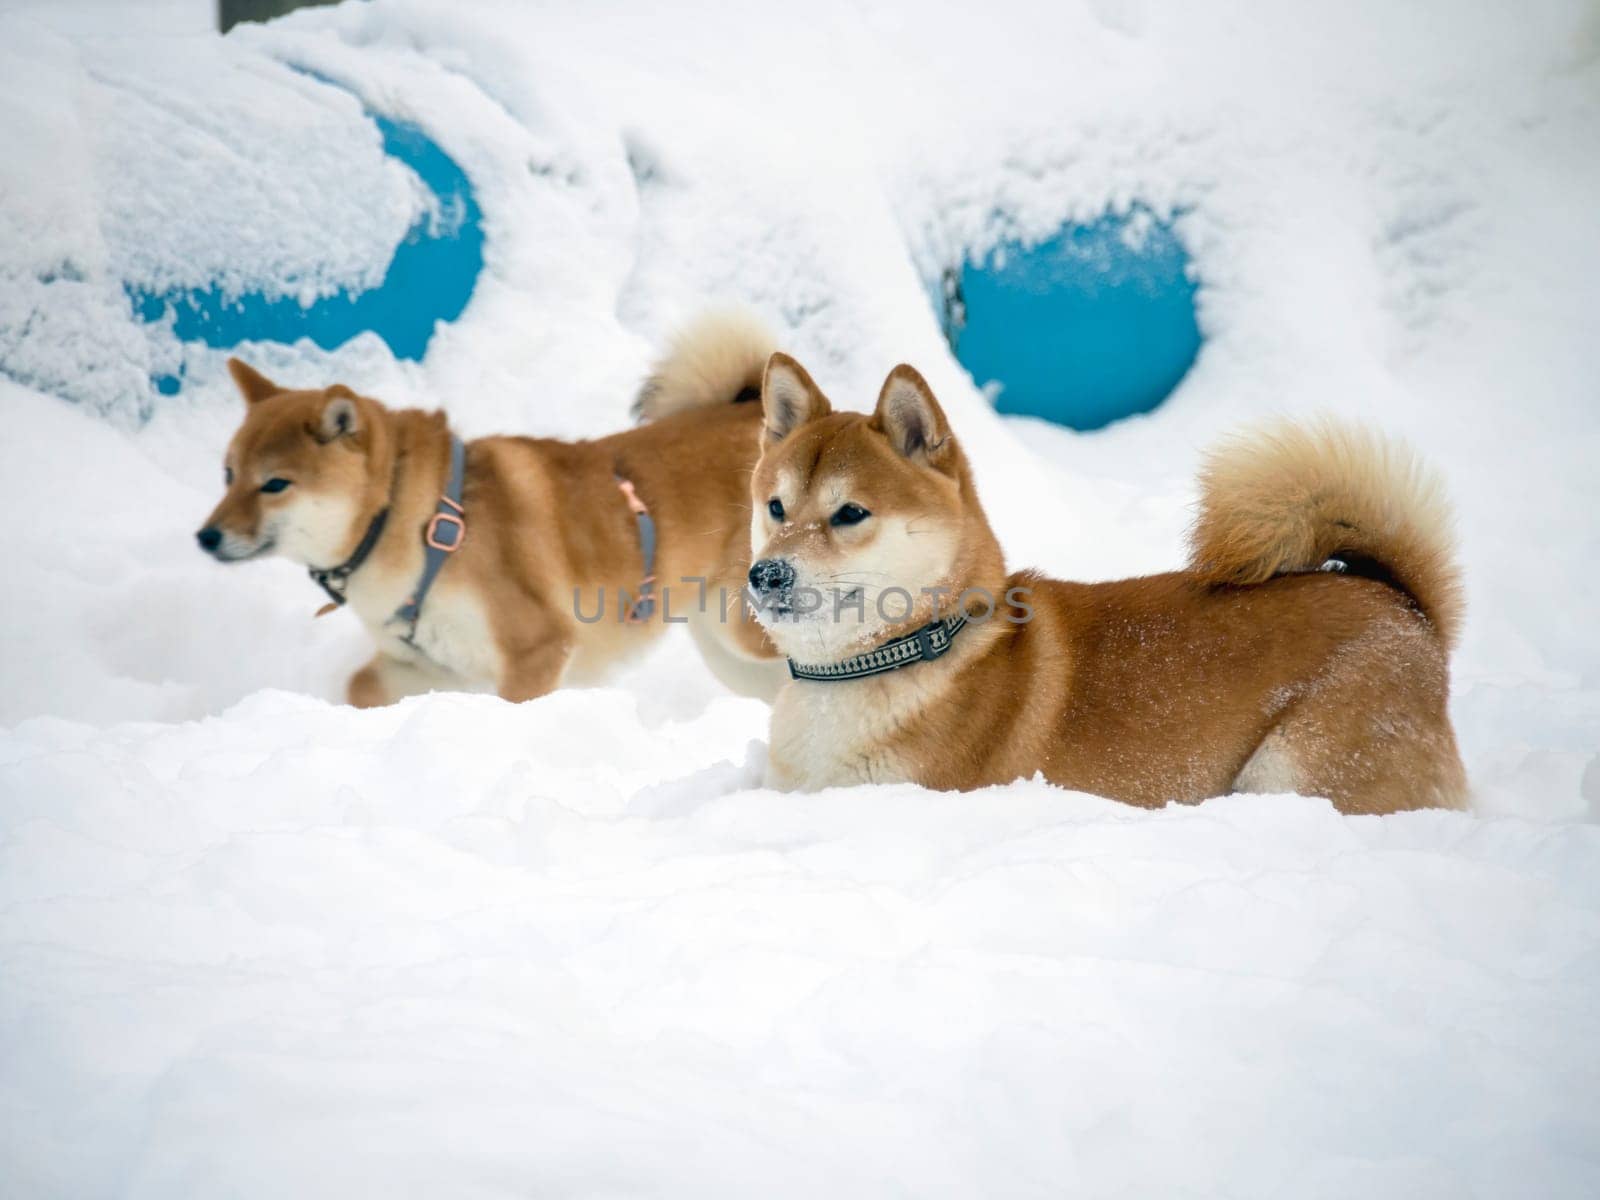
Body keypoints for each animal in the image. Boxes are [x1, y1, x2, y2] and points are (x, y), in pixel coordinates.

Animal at [200, 315, 787, 710]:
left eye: (274, 484)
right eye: (228, 474)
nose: (206, 536)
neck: (419, 525)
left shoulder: (538, 650)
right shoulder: (427, 663)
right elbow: (360, 684)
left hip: (742, 630)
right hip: (725, 648)